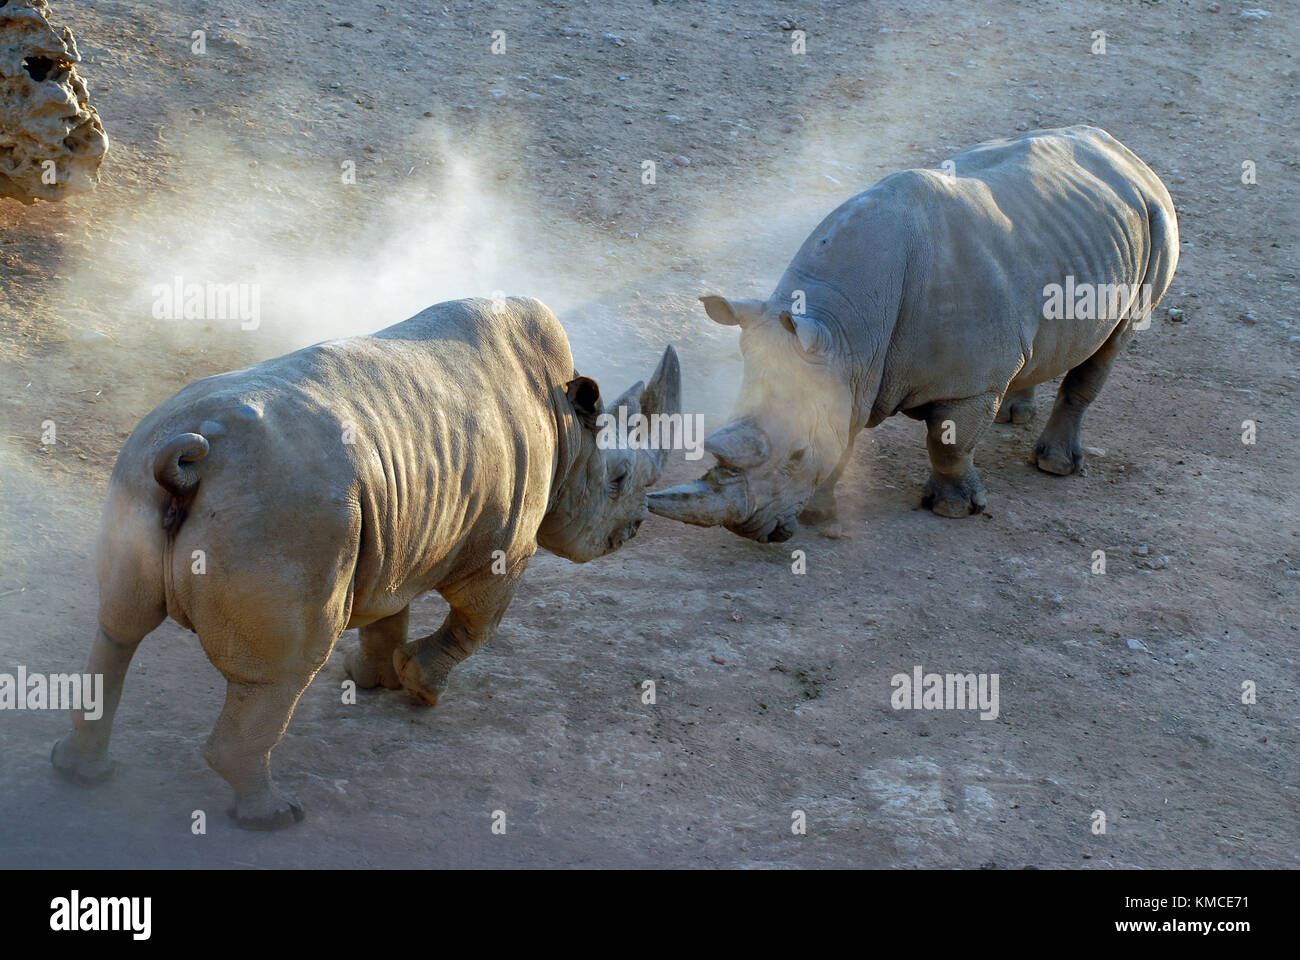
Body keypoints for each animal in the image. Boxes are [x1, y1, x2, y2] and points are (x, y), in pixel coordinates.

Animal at [51, 297, 680, 829]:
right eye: (619, 478)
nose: (634, 528)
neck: (568, 429)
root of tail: (192, 456)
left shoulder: (400, 529)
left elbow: (389, 609)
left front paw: (372, 679)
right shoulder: (500, 550)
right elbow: (475, 622)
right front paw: (421, 688)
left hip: (142, 473)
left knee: (119, 627)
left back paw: (81, 771)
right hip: (290, 516)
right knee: (280, 673)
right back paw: (273, 815)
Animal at [649, 125, 1178, 541]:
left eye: (796, 456)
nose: (751, 531)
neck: (845, 326)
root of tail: (1125, 154)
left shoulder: (966, 384)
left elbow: (948, 445)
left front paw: (953, 509)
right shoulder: (851, 367)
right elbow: (844, 434)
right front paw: (820, 514)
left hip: (1157, 217)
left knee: (1113, 341)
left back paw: (1055, 467)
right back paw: (1013, 414)